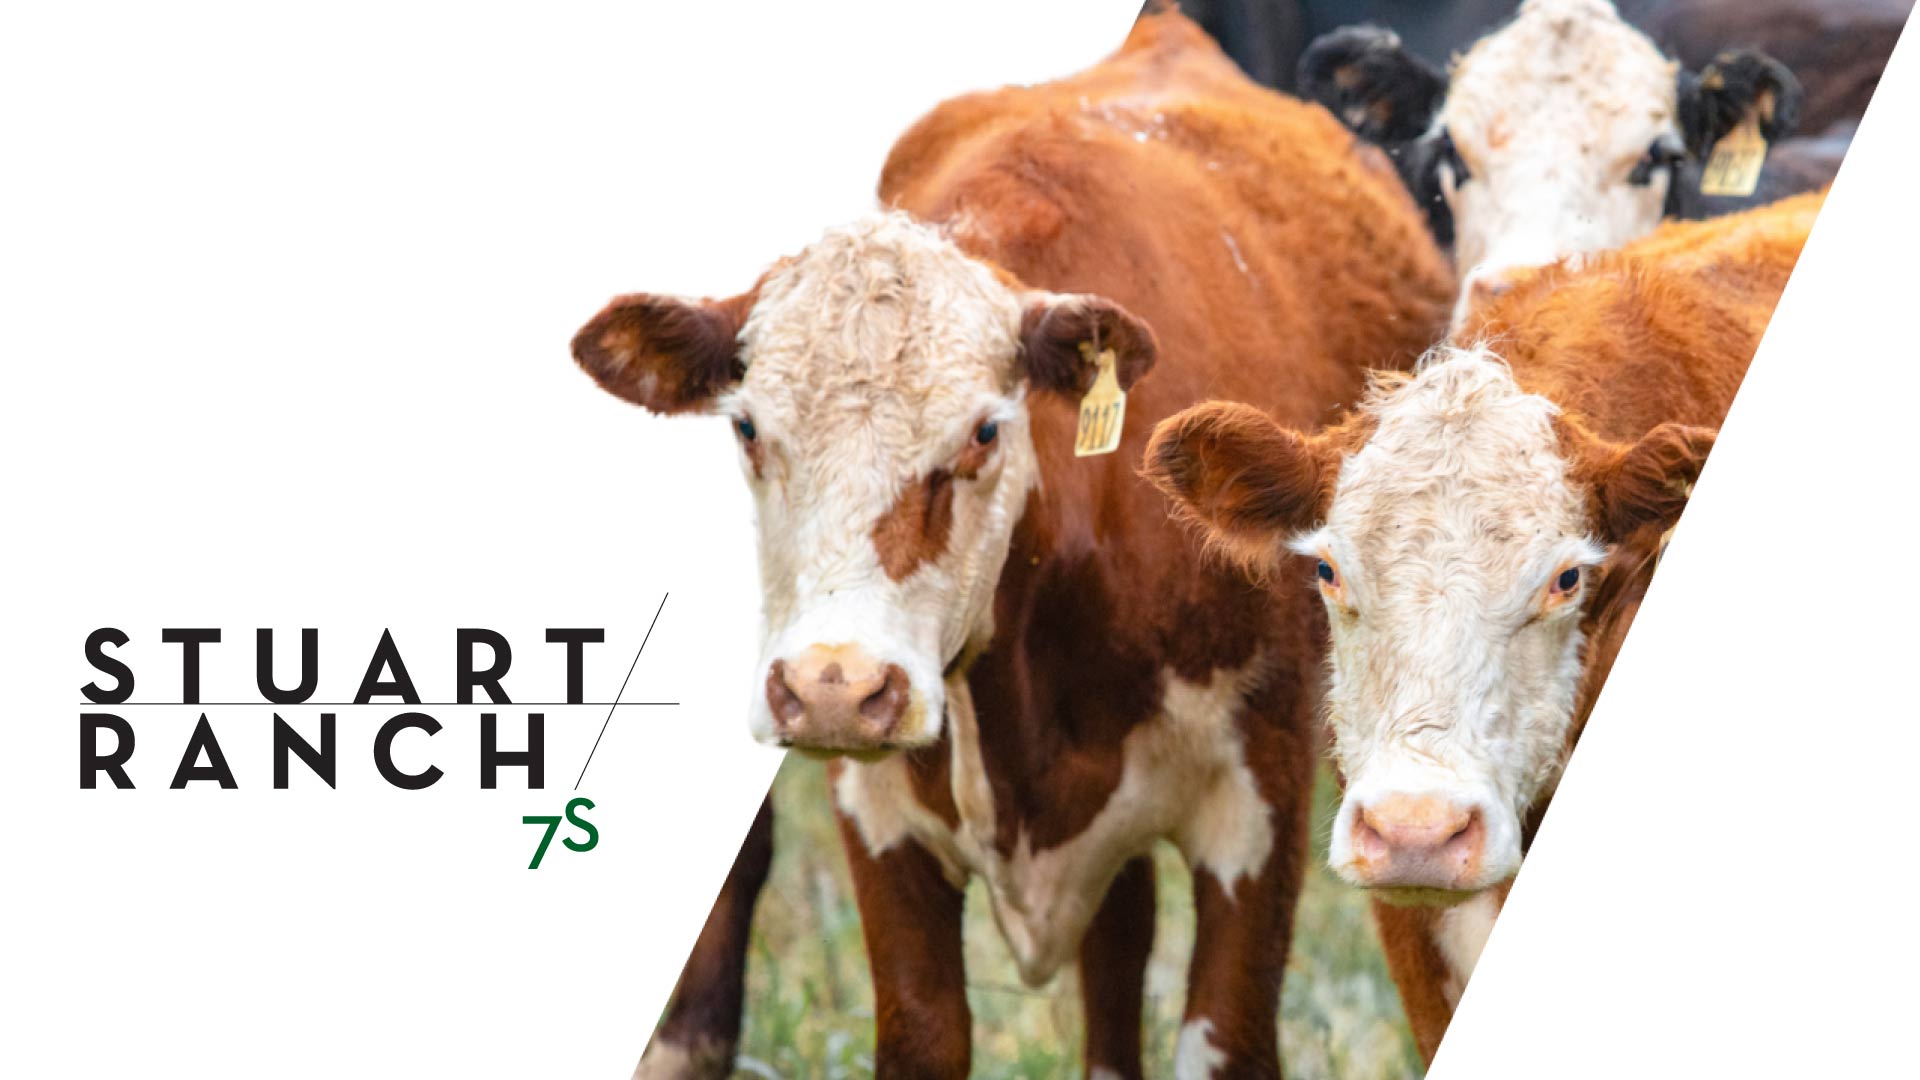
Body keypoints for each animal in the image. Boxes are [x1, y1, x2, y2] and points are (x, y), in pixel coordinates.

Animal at [578, 11, 1455, 1078]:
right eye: (747, 427)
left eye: (984, 431)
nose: (834, 687)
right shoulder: (878, 818)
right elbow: (926, 1029)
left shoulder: (1263, 800)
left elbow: (1222, 1038)